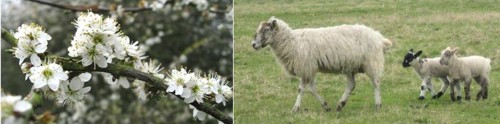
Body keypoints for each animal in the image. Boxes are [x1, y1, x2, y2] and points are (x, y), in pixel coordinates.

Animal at [252, 16, 392, 112]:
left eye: (266, 29)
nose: (253, 44)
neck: (292, 42)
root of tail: (379, 37)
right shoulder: (310, 69)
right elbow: (311, 89)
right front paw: (326, 106)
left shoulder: (306, 67)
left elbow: (301, 89)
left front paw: (295, 108)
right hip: (349, 66)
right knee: (351, 85)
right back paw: (340, 105)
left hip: (372, 62)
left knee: (376, 83)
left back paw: (378, 105)